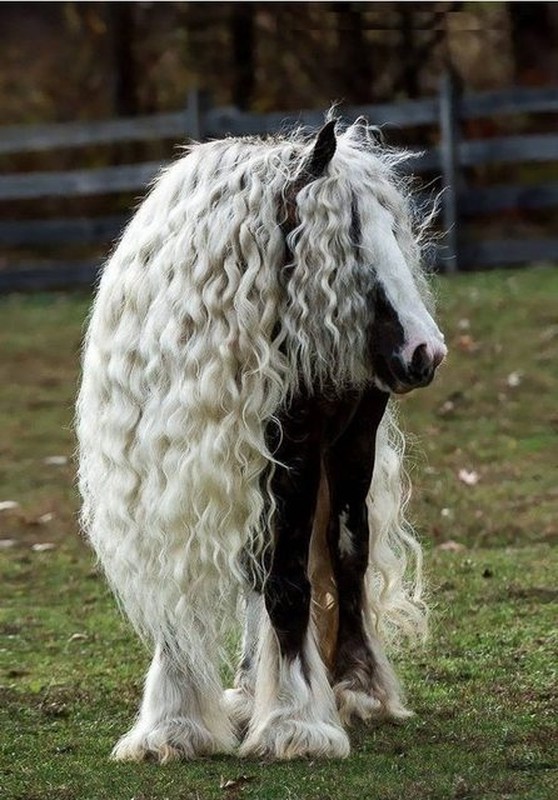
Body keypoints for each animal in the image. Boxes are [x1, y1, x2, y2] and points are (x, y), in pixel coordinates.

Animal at [76, 119, 448, 764]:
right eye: (350, 239)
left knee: (346, 553)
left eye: (392, 232)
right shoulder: (164, 478)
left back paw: (355, 688)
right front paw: (174, 725)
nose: (425, 351)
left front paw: (295, 721)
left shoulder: (293, 457)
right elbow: (187, 588)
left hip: (349, 447)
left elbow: (290, 583)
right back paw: (252, 689)